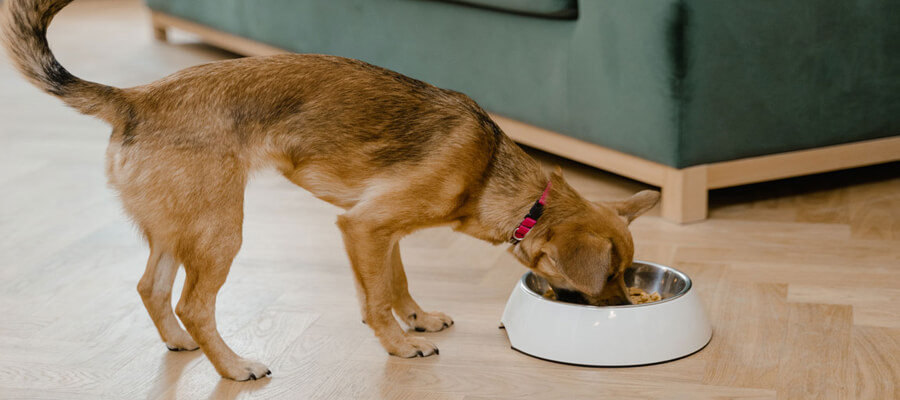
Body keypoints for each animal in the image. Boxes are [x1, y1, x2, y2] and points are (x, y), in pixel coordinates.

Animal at [1, 0, 660, 382]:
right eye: (608, 277)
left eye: (627, 276)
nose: (625, 310)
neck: (501, 180)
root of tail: (134, 98)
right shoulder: (363, 227)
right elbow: (375, 300)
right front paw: (400, 347)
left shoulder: (382, 231)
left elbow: (396, 282)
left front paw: (417, 320)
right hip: (220, 230)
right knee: (194, 302)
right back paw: (234, 366)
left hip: (176, 225)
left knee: (151, 288)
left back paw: (181, 345)